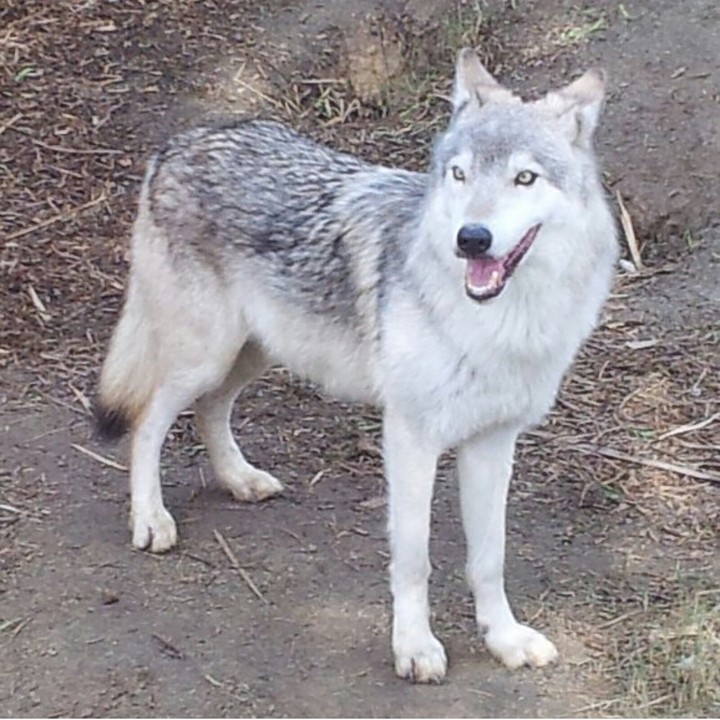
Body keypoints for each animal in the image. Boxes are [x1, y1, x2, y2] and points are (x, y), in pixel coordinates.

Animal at [95, 49, 618, 683]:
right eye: (459, 175)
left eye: (525, 178)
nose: (471, 238)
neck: (500, 322)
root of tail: (180, 142)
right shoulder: (411, 437)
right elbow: (414, 559)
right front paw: (415, 647)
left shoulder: (494, 440)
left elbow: (489, 558)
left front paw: (504, 639)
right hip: (206, 355)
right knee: (147, 421)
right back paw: (151, 520)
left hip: (253, 355)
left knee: (209, 412)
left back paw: (240, 479)